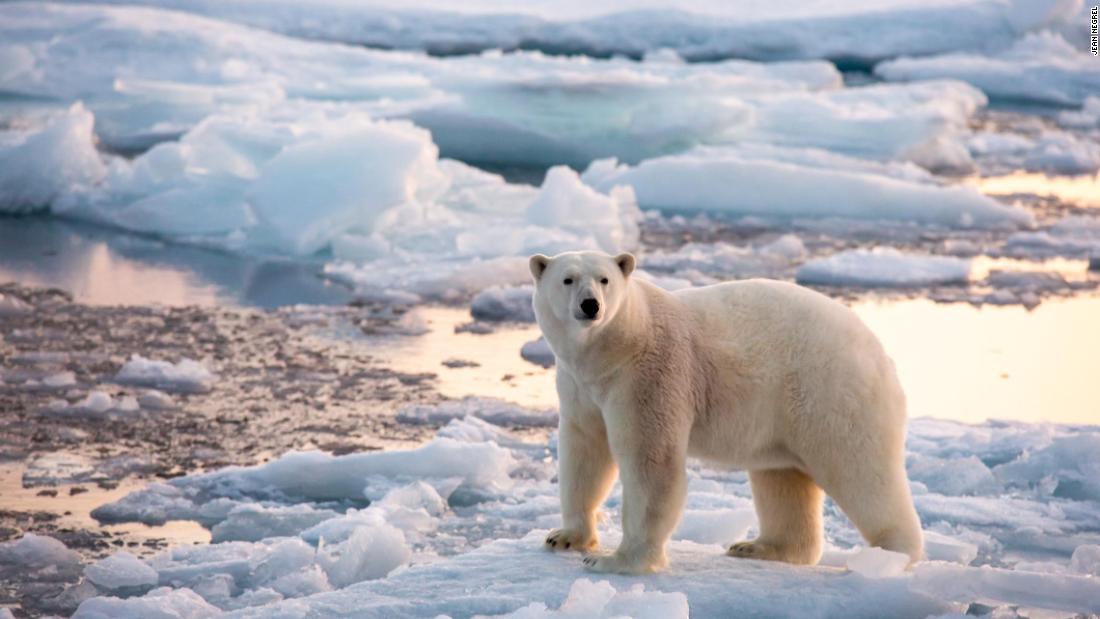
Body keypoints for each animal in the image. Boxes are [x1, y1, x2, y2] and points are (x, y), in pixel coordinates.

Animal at [528, 249, 924, 576]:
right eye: (568, 279)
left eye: (604, 279)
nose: (590, 305)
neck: (615, 348)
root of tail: (878, 350)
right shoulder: (581, 386)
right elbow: (585, 451)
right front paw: (564, 537)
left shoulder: (650, 375)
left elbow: (651, 461)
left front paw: (617, 560)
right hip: (784, 413)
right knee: (782, 478)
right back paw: (758, 546)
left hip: (830, 392)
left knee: (860, 469)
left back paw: (890, 555)